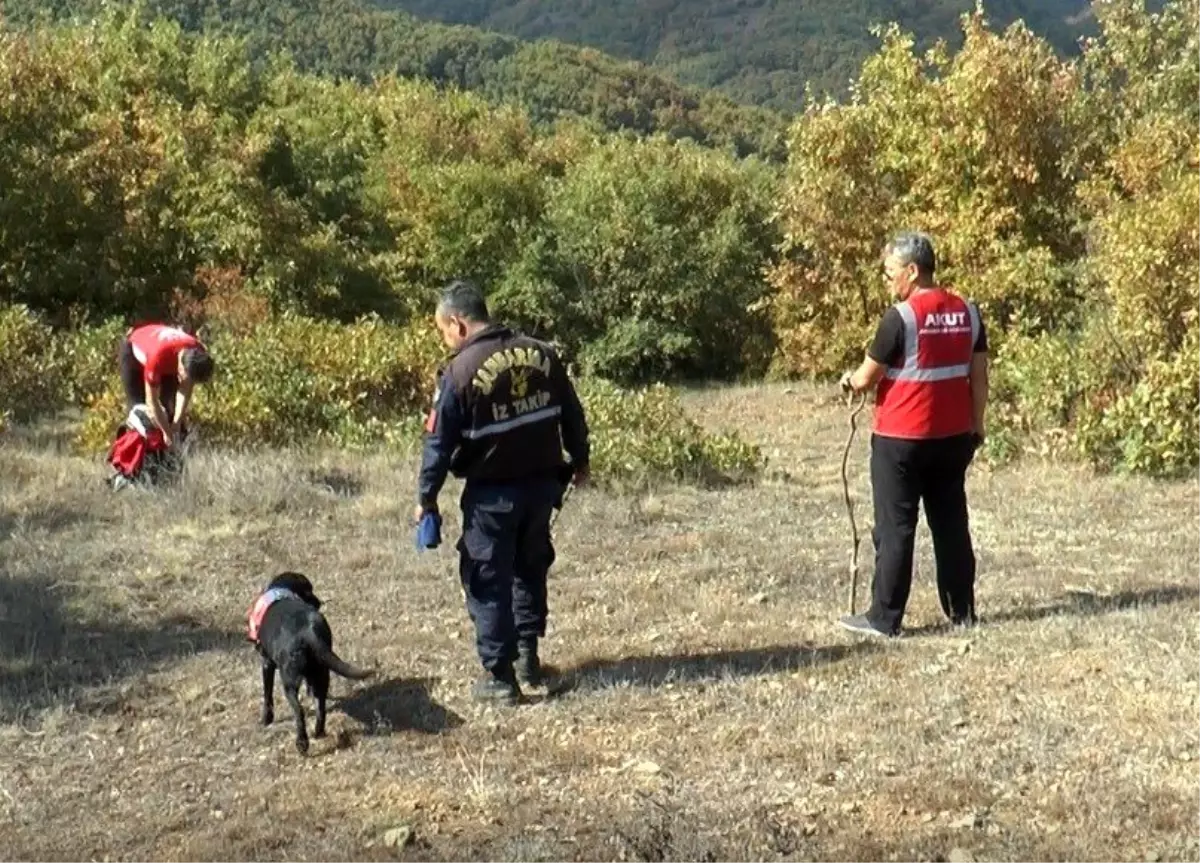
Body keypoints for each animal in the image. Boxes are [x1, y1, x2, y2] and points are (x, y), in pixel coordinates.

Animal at [246, 573, 372, 748]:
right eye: (308, 590)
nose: (319, 602)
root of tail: (308, 631)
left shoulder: (266, 663)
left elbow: (267, 696)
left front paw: (266, 720)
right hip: (322, 672)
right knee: (321, 707)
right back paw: (318, 733)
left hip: (289, 681)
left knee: (299, 711)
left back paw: (302, 743)